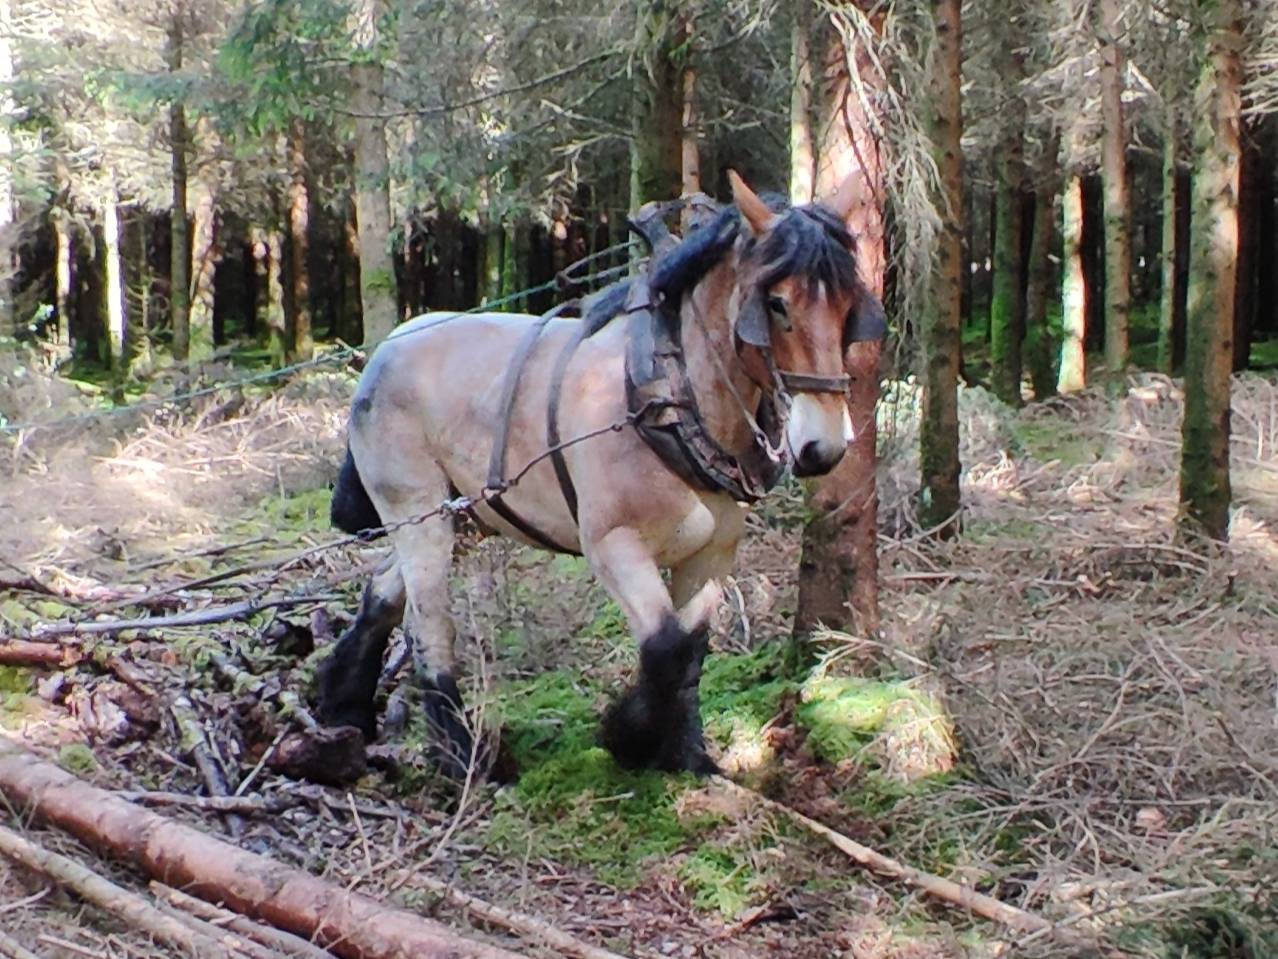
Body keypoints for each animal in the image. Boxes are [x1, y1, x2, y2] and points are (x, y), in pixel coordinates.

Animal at [315, 172, 887, 779]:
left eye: (849, 306)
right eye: (777, 304)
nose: (823, 447)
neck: (667, 401)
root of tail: (386, 349)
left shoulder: (711, 556)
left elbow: (692, 650)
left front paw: (687, 755)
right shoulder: (613, 546)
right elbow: (665, 645)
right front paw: (628, 736)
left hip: (466, 515)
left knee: (382, 590)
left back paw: (344, 701)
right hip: (415, 507)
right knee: (429, 621)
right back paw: (457, 754)